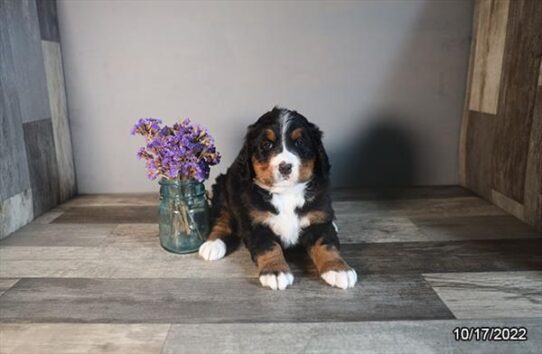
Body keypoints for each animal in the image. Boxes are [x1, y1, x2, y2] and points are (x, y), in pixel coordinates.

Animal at [198, 106, 360, 290]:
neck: (286, 193)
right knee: (222, 217)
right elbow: (269, 247)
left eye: (300, 142)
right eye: (266, 144)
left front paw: (339, 269)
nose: (285, 167)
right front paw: (275, 271)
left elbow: (327, 245)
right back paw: (213, 244)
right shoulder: (256, 224)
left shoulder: (319, 219)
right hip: (223, 189)